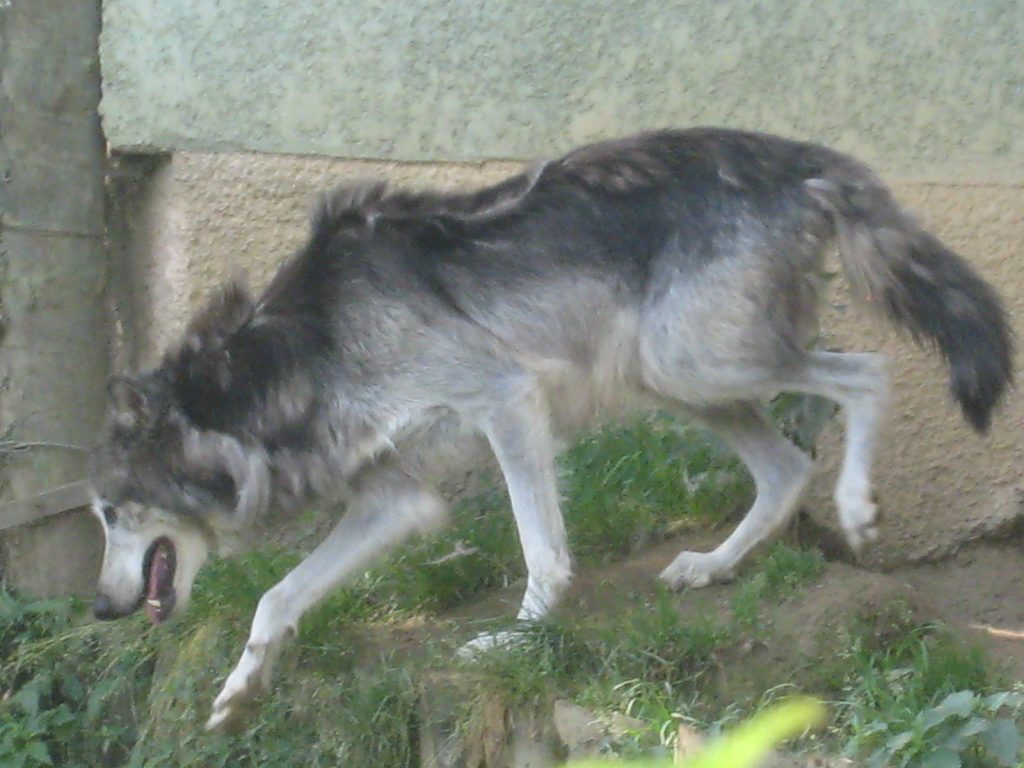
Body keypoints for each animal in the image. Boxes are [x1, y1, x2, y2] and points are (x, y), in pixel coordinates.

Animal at [90, 129, 1015, 729]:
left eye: (109, 513)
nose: (99, 610)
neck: (309, 349)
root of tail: (805, 159)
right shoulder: (397, 502)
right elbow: (276, 596)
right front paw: (240, 691)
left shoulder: (507, 402)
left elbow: (543, 549)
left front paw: (523, 636)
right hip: (673, 376)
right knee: (786, 466)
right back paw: (711, 567)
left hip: (698, 364)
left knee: (867, 373)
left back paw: (856, 509)